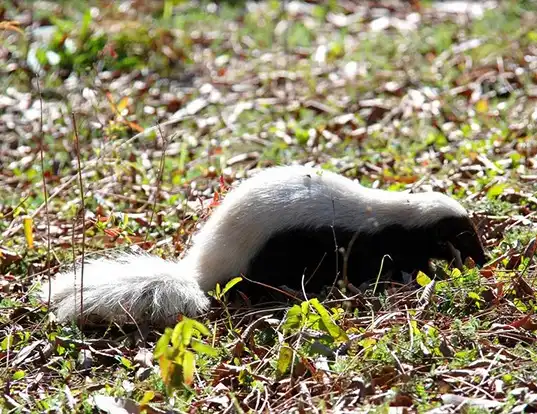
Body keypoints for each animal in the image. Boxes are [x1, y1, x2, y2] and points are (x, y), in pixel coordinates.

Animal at [42, 166, 486, 326]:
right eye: (465, 235)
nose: (482, 259)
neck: (400, 215)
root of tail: (201, 268)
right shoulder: (372, 242)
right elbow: (386, 264)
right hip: (271, 259)